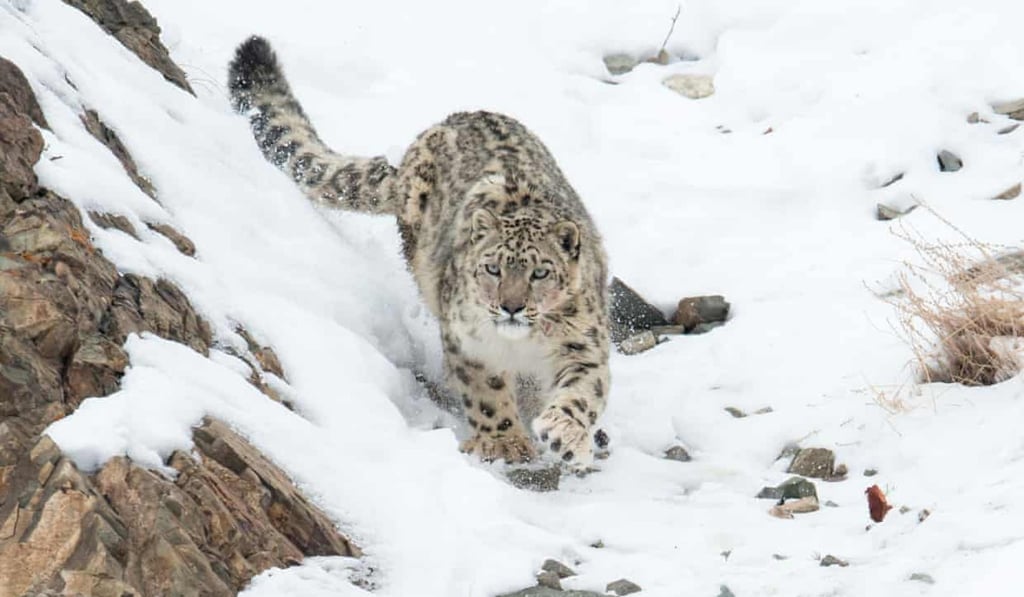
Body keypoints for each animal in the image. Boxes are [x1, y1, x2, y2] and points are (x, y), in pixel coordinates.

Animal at [228, 36, 610, 470]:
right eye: (492, 269)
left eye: (540, 273)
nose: (511, 306)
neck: (521, 346)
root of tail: (452, 118)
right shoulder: (468, 340)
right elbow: (486, 392)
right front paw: (503, 442)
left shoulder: (583, 343)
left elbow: (583, 391)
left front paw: (565, 435)